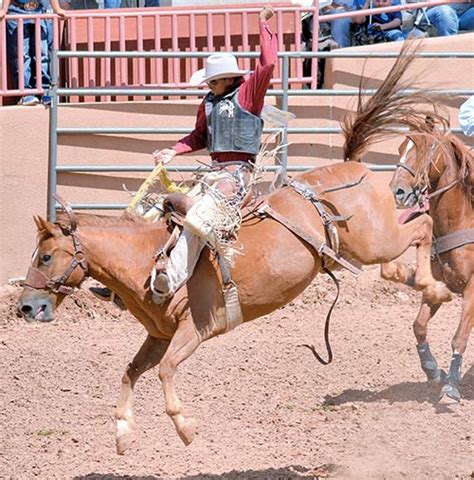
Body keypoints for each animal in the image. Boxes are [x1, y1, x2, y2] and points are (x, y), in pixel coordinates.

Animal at [16, 42, 450, 454]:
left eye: (47, 256)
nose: (26, 307)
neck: (146, 261)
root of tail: (353, 165)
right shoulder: (159, 336)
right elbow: (130, 371)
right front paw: (123, 434)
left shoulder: (196, 329)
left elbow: (166, 371)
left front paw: (185, 427)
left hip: (377, 239)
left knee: (423, 225)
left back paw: (433, 286)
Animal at [390, 124, 472, 402]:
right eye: (401, 147)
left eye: (425, 150)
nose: (397, 191)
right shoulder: (438, 286)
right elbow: (419, 326)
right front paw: (433, 370)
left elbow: (459, 337)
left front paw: (451, 386)